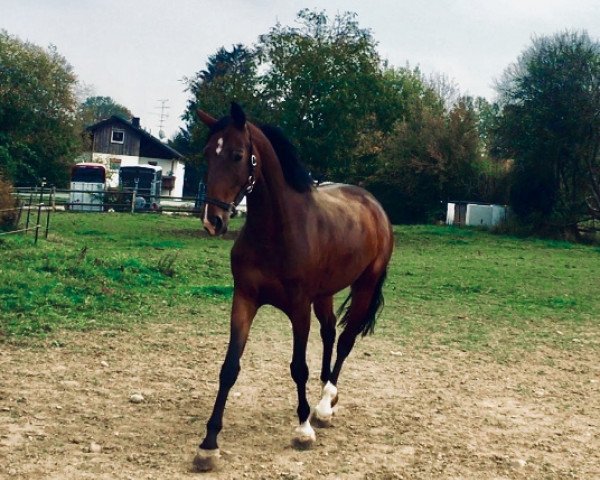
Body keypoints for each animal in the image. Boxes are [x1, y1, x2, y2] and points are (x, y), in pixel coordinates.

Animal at [192, 103, 394, 470]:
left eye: (237, 154)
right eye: (207, 153)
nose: (213, 220)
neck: (277, 231)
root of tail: (374, 205)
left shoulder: (299, 308)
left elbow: (298, 367)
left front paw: (302, 429)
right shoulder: (244, 300)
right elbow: (229, 368)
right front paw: (209, 444)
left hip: (365, 286)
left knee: (345, 341)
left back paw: (325, 404)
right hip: (325, 294)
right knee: (330, 332)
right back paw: (326, 395)